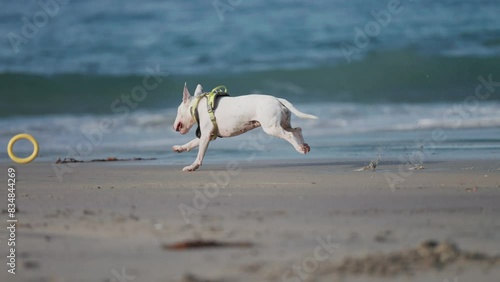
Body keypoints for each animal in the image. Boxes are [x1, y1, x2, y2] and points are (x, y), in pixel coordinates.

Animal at [174, 83, 318, 172]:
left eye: (177, 110)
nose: (174, 126)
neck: (197, 105)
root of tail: (277, 99)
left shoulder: (205, 136)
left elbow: (199, 154)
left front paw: (192, 166)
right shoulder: (208, 135)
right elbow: (192, 143)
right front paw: (180, 148)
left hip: (271, 128)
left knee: (289, 135)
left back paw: (299, 148)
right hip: (283, 124)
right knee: (297, 130)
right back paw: (304, 146)